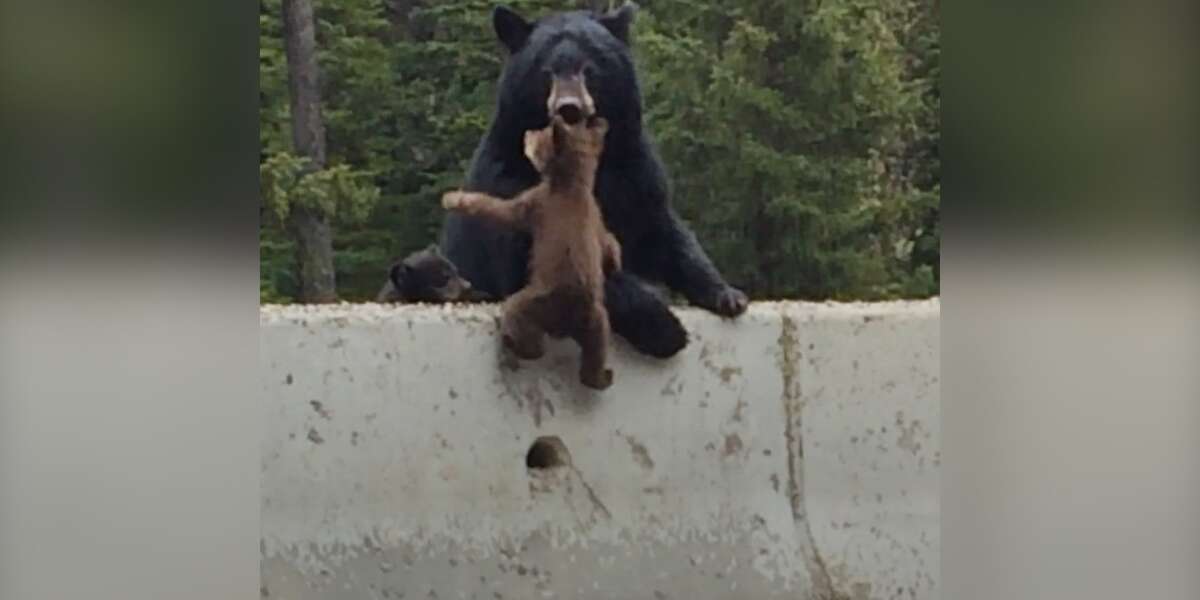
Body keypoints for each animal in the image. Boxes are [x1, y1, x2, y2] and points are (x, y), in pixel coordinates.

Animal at [439, 3, 748, 359]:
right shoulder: (512, 185)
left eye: (589, 68)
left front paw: (727, 294)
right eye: (547, 70)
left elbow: (665, 233)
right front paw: (665, 328)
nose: (569, 108)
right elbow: (540, 266)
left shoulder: (632, 176)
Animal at [442, 114, 619, 390]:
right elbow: (608, 242)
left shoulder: (537, 203)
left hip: (539, 302)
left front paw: (453, 198)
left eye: (540, 134)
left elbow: (499, 209)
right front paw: (615, 262)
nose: (528, 132)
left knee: (521, 322)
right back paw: (602, 377)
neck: (573, 183)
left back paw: (514, 342)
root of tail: (568, 324)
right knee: (595, 353)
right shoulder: (596, 215)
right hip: (597, 322)